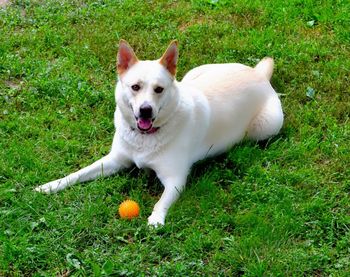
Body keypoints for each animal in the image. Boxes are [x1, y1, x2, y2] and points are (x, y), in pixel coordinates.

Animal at [34, 41, 284, 226]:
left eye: (159, 89)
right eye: (135, 87)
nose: (146, 110)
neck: (144, 138)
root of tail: (259, 74)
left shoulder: (175, 179)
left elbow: (161, 201)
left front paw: (156, 219)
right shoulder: (113, 160)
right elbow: (78, 173)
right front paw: (51, 185)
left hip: (267, 125)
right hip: (194, 73)